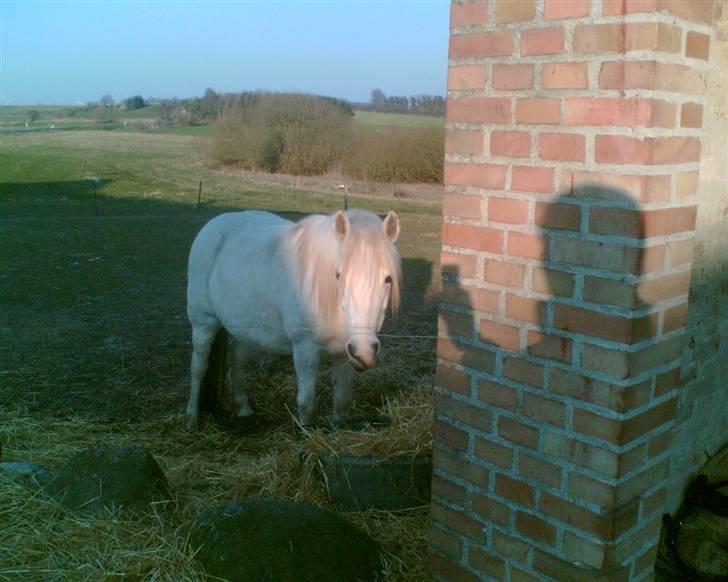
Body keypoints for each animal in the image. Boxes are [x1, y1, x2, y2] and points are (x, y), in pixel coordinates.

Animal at [184, 208, 401, 430]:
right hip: (203, 323)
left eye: (388, 279)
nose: (364, 352)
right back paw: (191, 418)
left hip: (243, 329)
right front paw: (306, 431)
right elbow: (307, 404)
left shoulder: (343, 354)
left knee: (238, 360)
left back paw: (243, 409)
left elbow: (341, 402)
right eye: (339, 275)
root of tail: (215, 223)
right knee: (198, 367)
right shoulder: (305, 349)